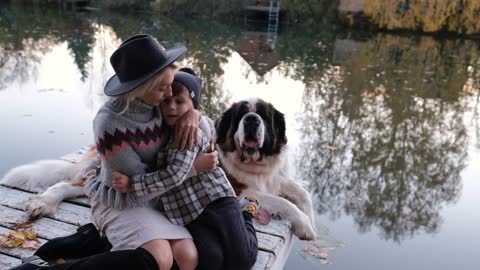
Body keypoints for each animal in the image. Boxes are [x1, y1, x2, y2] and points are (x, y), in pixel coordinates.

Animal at [1, 98, 316, 240]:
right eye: (241, 115)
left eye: (263, 115)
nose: (251, 119)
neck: (255, 165)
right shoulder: (240, 191)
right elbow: (282, 202)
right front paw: (305, 226)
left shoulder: (276, 177)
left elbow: (300, 191)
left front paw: (310, 217)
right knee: (69, 184)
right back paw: (44, 202)